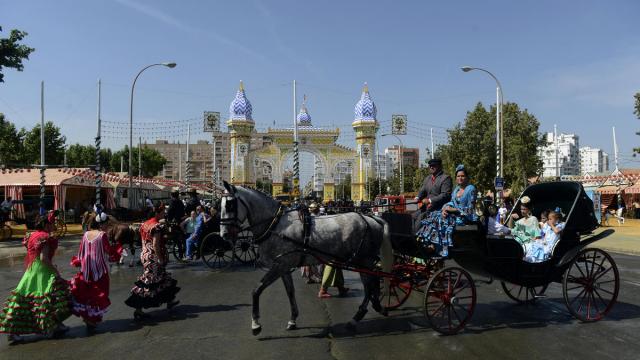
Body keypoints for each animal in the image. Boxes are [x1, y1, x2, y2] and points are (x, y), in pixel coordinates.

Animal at [220, 181, 390, 336]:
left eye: (229, 205)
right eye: (218, 204)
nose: (224, 235)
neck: (276, 225)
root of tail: (371, 218)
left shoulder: (280, 265)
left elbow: (257, 290)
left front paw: (255, 324)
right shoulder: (283, 266)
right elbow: (290, 291)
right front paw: (293, 319)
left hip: (363, 260)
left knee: (370, 285)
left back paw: (359, 316)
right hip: (363, 261)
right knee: (372, 283)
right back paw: (376, 307)